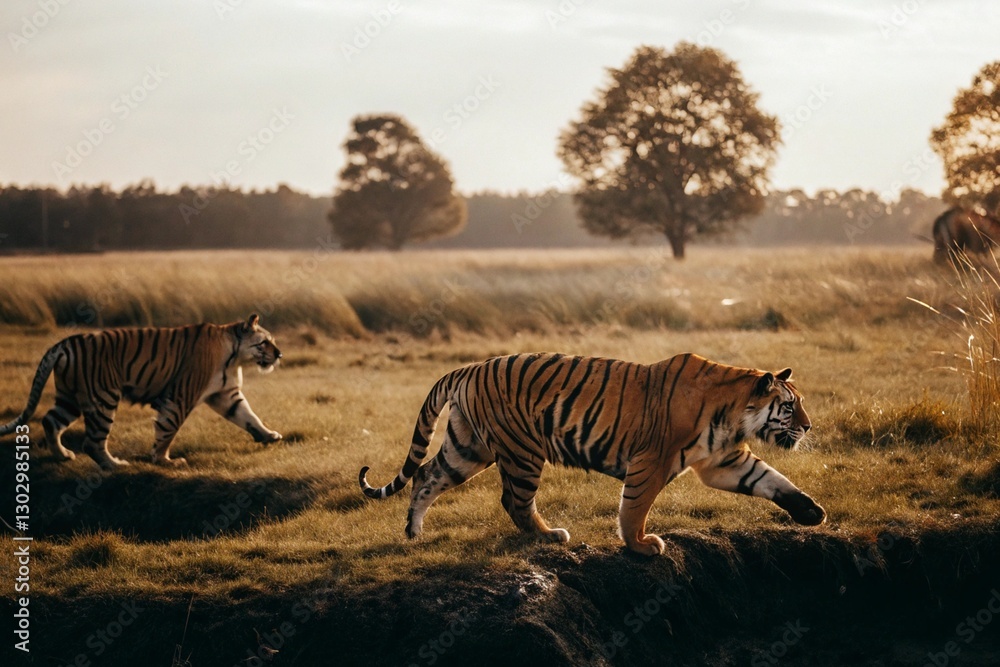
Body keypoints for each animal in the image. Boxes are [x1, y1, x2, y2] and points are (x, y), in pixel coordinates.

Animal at [0, 314, 282, 470]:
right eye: (264, 342)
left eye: (272, 341)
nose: (279, 354)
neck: (234, 356)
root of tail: (66, 342)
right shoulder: (181, 396)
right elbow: (168, 429)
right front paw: (164, 460)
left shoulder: (227, 395)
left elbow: (249, 416)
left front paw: (269, 436)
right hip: (104, 398)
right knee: (92, 441)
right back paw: (114, 465)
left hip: (69, 398)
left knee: (50, 421)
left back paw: (64, 456)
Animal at [359, 352, 826, 556]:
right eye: (790, 406)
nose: (808, 427)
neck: (735, 412)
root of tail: (468, 367)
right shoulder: (651, 462)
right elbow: (634, 508)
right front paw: (640, 545)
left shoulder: (724, 462)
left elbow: (771, 480)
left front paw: (812, 511)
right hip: (522, 452)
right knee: (514, 500)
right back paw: (549, 535)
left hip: (467, 448)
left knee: (427, 476)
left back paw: (413, 533)